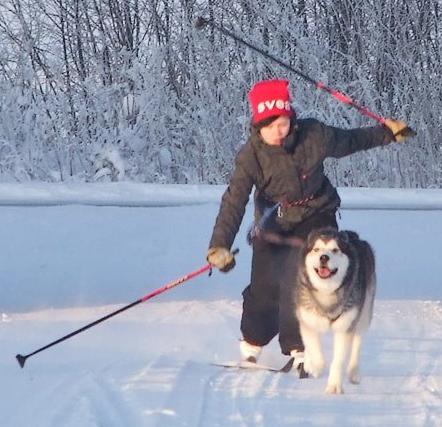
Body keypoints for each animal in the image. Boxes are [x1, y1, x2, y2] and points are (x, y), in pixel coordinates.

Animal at [294, 227, 376, 394]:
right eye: (316, 249)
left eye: (335, 250)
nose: (324, 257)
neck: (327, 293)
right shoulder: (307, 320)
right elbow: (313, 348)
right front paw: (313, 365)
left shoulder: (345, 326)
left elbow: (338, 360)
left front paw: (334, 385)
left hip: (363, 315)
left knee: (357, 344)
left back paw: (354, 372)